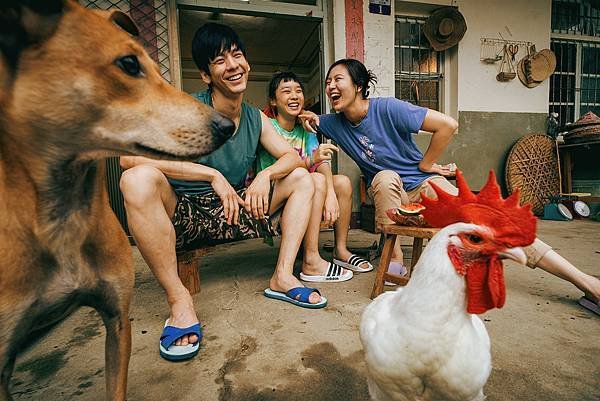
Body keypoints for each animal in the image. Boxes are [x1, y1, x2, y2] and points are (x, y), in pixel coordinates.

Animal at [0, 1, 234, 398]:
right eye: (128, 64)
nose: (226, 127)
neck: (61, 215)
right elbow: (138, 165)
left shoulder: (117, 320)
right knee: (141, 179)